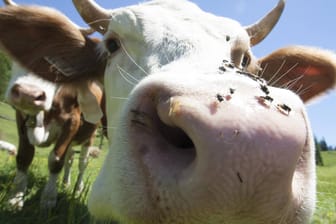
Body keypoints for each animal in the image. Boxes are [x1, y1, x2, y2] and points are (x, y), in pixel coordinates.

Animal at [3, 61, 103, 210]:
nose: (28, 94)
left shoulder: (72, 122)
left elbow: (56, 160)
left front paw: (49, 198)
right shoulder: (21, 116)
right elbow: (24, 156)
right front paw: (16, 198)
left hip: (89, 136)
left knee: (82, 163)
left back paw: (78, 188)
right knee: (70, 159)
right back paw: (66, 183)